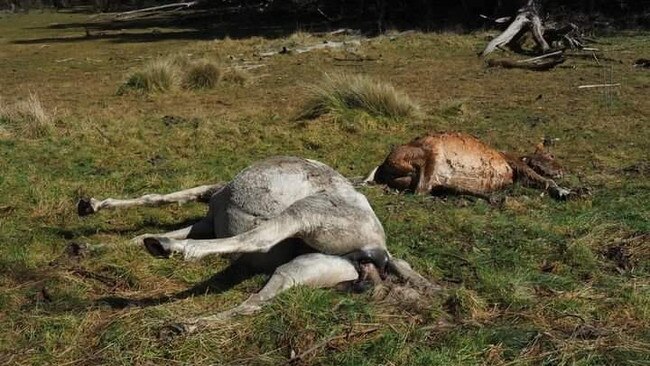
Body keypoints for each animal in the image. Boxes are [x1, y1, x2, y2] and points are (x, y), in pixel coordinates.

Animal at [78, 156, 432, 334]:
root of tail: (380, 251)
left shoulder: (209, 195)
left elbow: (162, 197)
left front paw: (91, 205)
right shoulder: (206, 222)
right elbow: (148, 230)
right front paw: (92, 248)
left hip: (304, 213)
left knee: (259, 239)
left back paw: (166, 248)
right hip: (299, 269)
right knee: (255, 303)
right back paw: (186, 325)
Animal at [364, 132, 572, 200]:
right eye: (550, 155)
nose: (562, 170)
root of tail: (383, 166)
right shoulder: (518, 165)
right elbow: (545, 181)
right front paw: (565, 191)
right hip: (431, 152)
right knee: (422, 190)